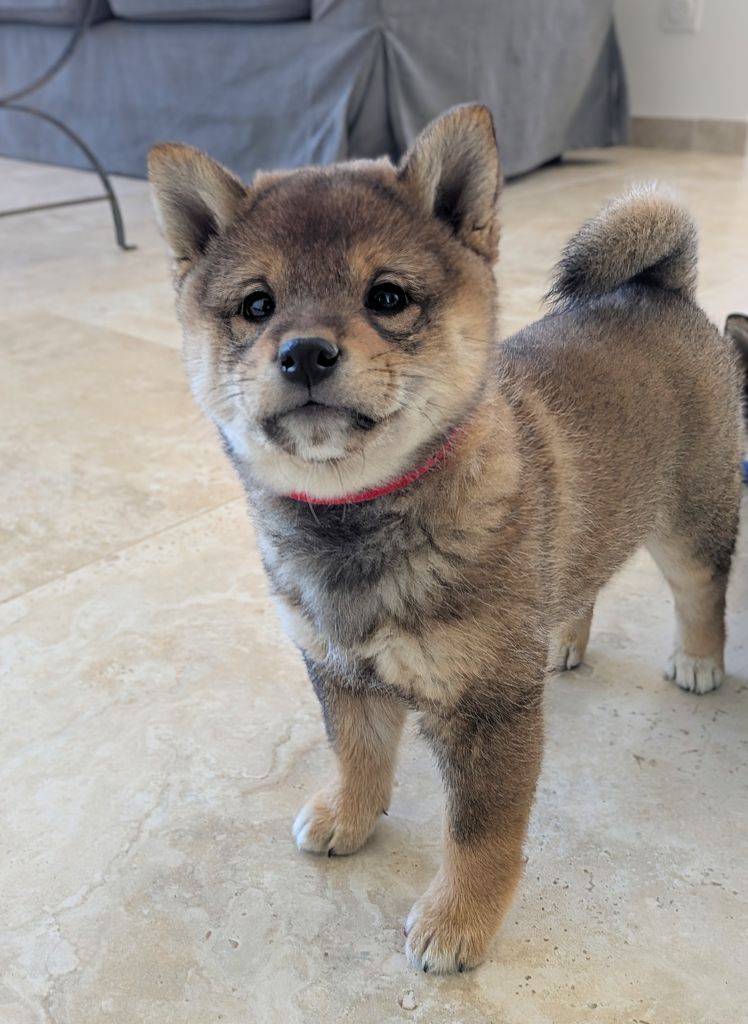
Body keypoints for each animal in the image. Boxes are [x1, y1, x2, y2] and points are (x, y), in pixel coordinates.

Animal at [149, 105, 743, 974]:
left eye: (387, 296)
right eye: (257, 306)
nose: (304, 352)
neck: (359, 515)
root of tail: (656, 288)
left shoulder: (486, 710)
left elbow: (479, 835)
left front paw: (459, 923)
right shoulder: (339, 668)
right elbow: (357, 757)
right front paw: (349, 817)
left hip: (690, 522)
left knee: (703, 591)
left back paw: (698, 661)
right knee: (583, 572)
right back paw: (562, 636)